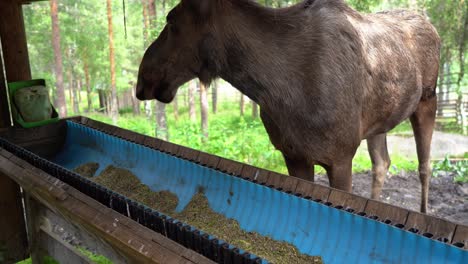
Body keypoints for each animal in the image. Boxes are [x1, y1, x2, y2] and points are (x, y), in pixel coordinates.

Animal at [134, 0, 438, 212]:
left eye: (171, 22)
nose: (142, 80)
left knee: (425, 166)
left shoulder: (341, 156)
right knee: (382, 163)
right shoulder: (294, 155)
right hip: (378, 123)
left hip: (427, 100)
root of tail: (429, 22)